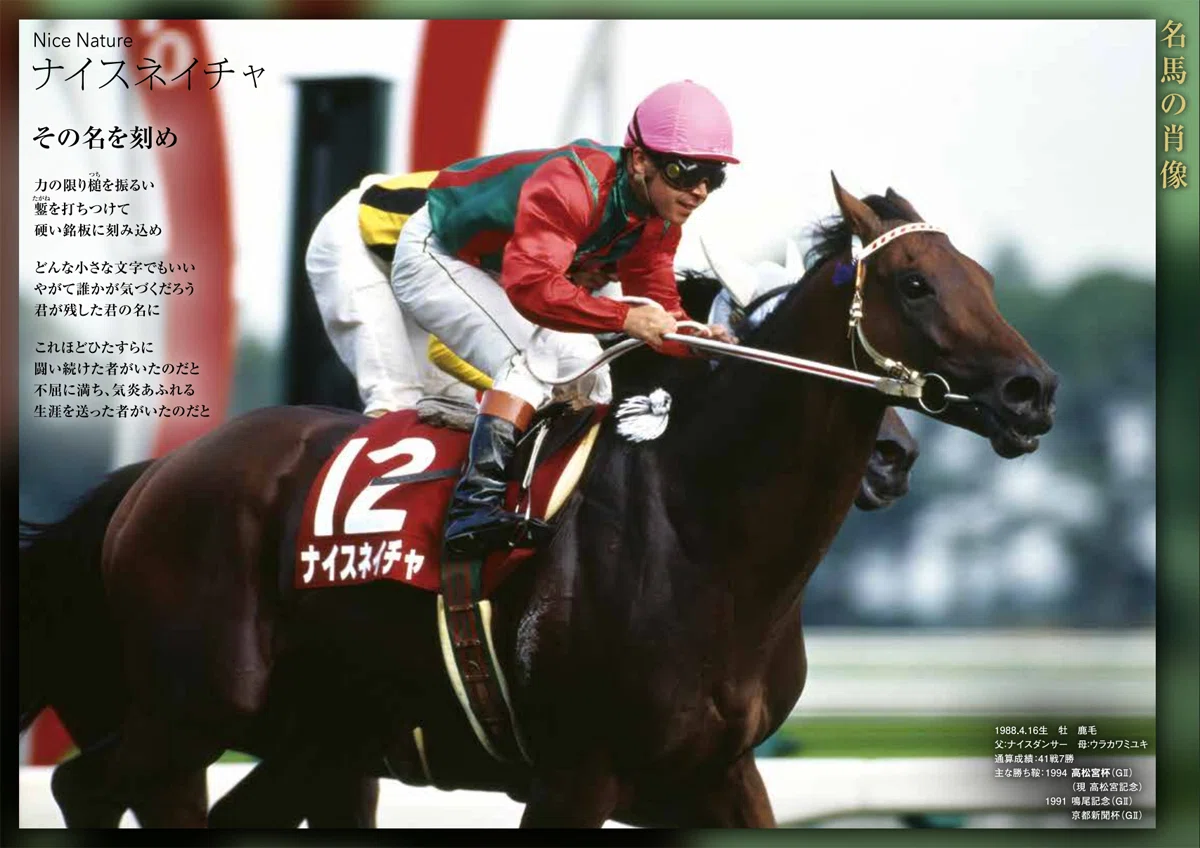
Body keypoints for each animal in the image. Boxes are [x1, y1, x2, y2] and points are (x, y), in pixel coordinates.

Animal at [45, 176, 1055, 827]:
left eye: (985, 282)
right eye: (915, 285)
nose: (1031, 392)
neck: (699, 531)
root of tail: (156, 478)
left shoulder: (718, 774)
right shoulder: (576, 772)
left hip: (311, 736)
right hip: (193, 707)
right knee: (86, 790)